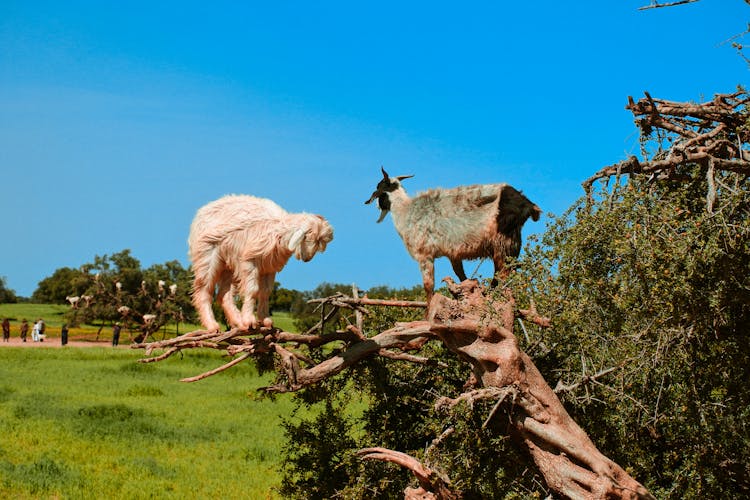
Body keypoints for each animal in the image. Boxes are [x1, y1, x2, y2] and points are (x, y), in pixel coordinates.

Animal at [189, 194, 334, 332]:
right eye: (307, 237)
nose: (307, 258)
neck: (278, 230)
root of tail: (201, 211)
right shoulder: (249, 261)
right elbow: (253, 290)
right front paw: (249, 320)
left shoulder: (269, 268)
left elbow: (265, 292)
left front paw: (265, 320)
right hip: (206, 255)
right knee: (203, 289)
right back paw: (213, 325)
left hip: (229, 264)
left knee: (224, 294)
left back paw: (238, 322)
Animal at [368, 167, 544, 300]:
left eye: (379, 188)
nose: (373, 204)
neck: (406, 211)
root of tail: (528, 204)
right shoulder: (453, 254)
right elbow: (461, 276)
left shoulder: (425, 255)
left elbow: (429, 288)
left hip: (503, 243)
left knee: (503, 274)